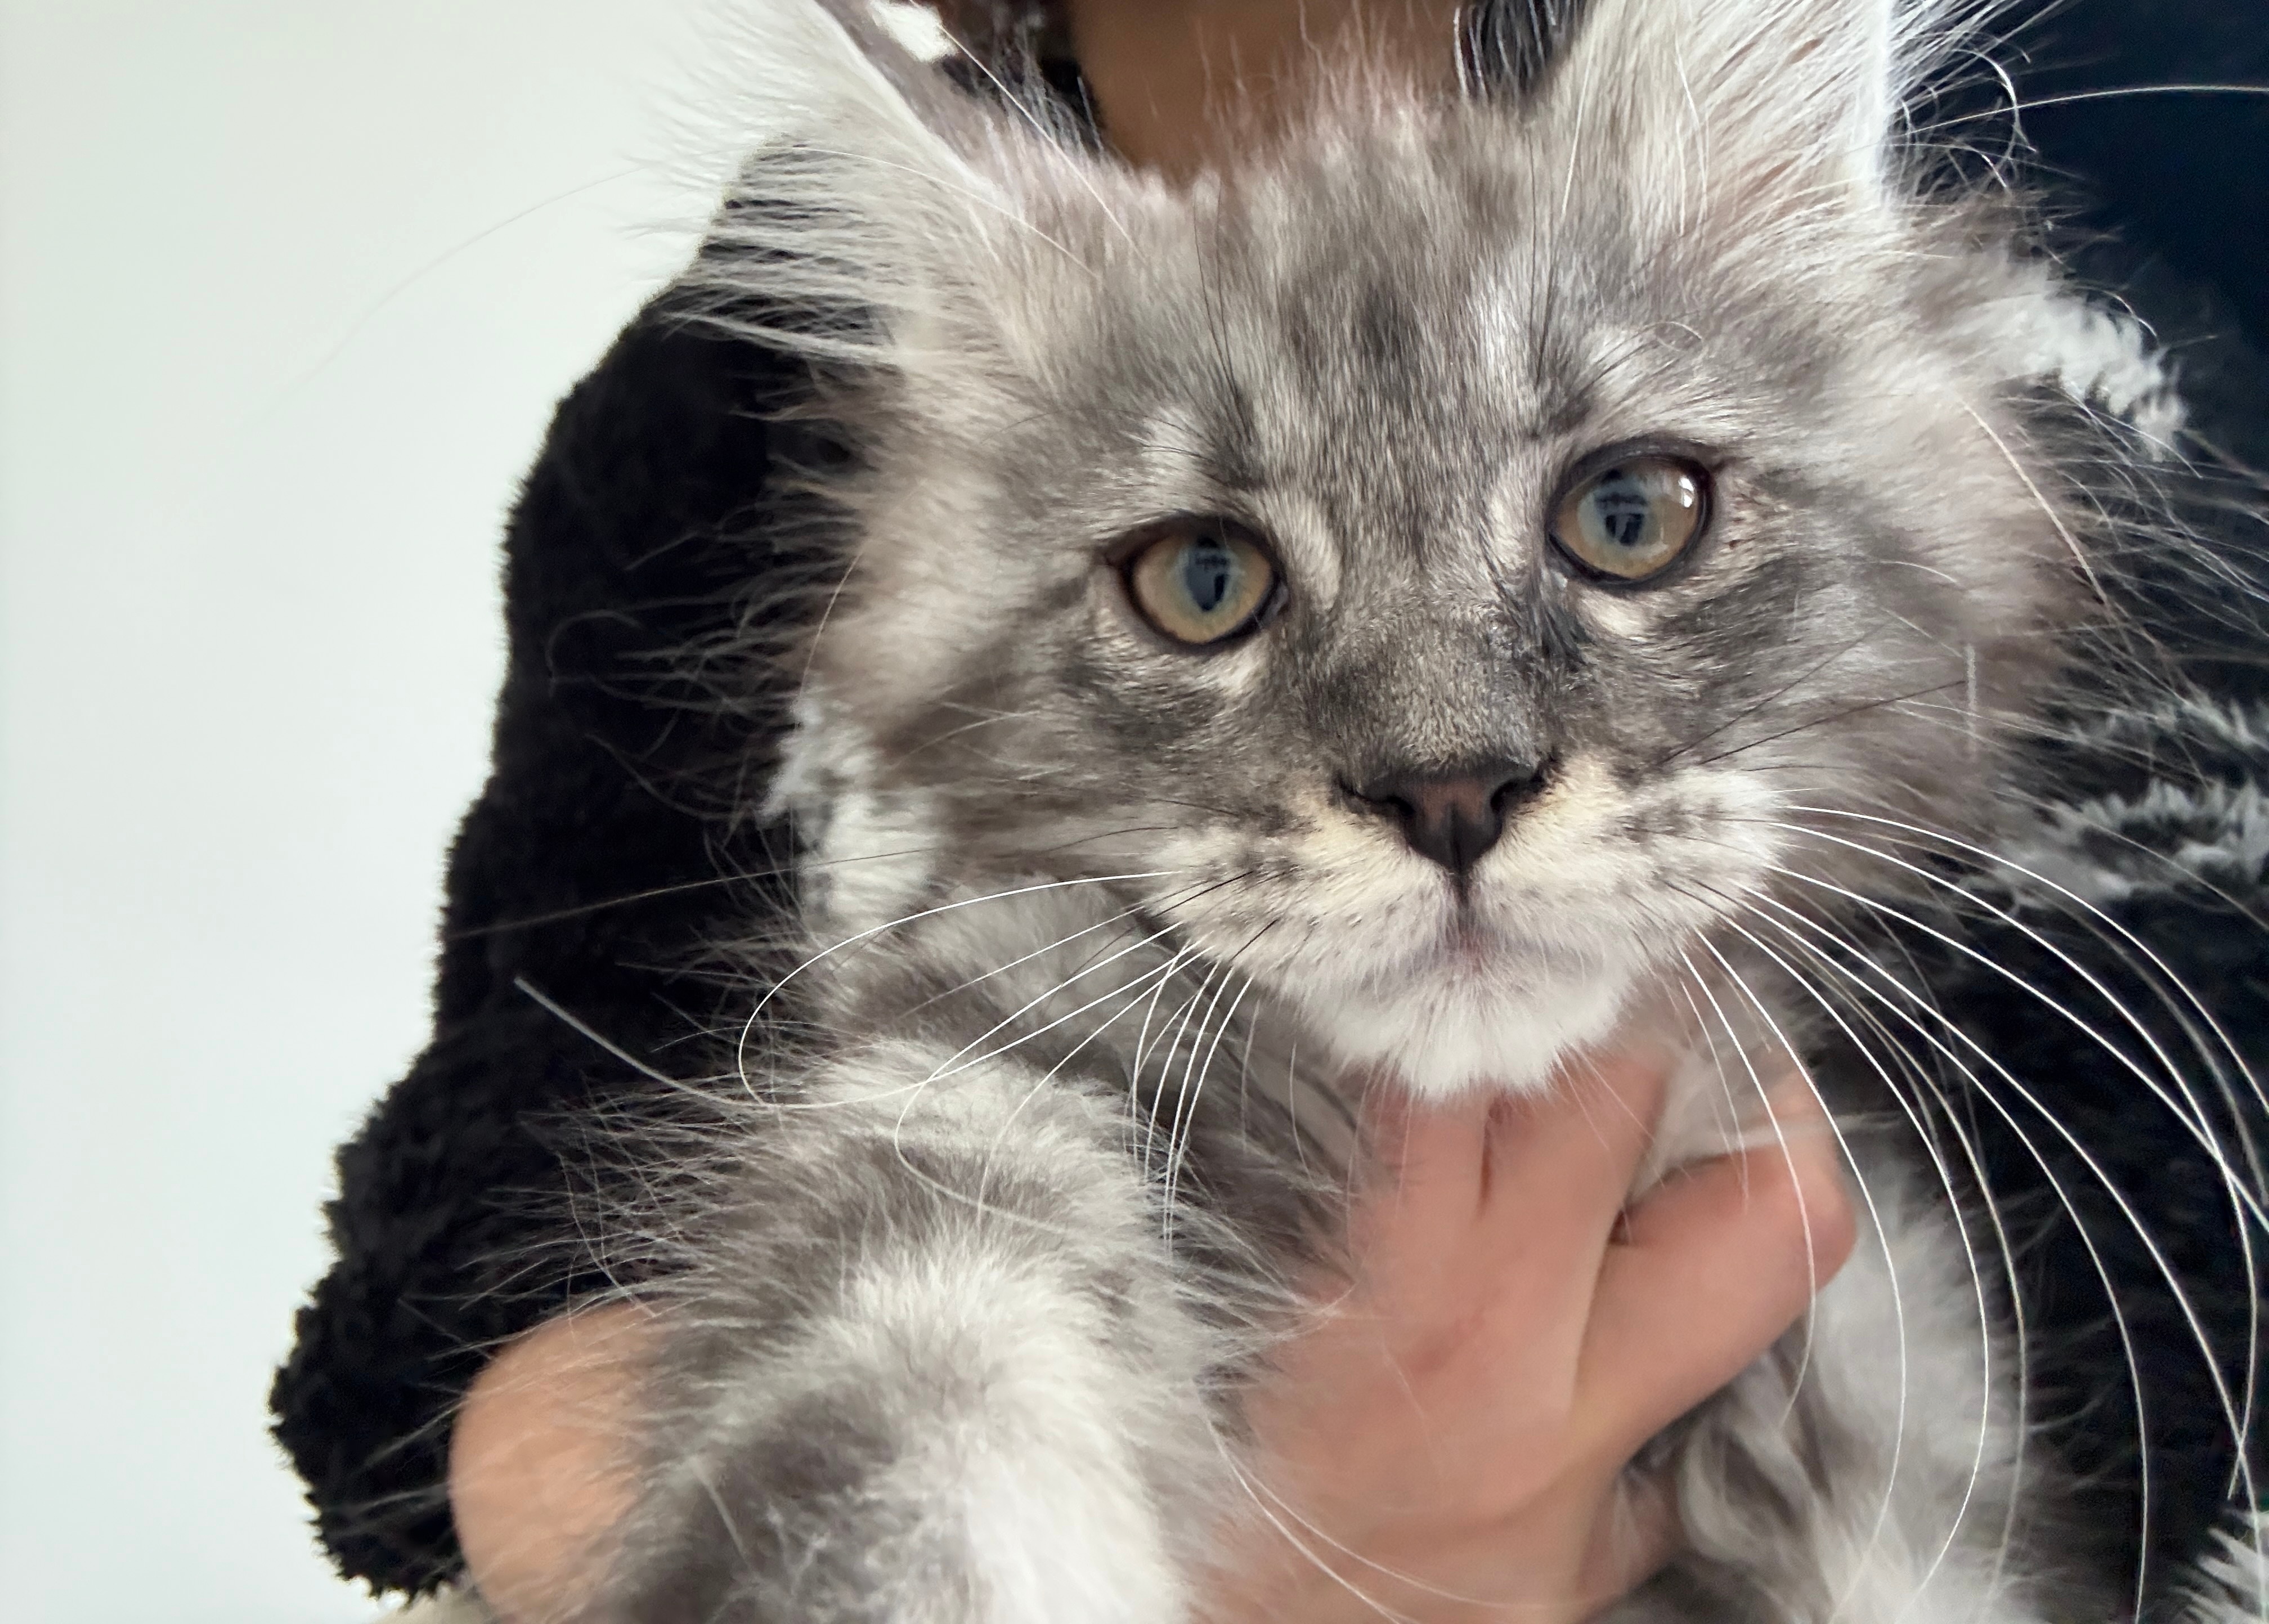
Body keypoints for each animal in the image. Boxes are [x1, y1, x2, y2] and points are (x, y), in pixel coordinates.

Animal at [562, 3, 2250, 1624]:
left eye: (1631, 516)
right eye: (1203, 581)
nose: (1451, 789)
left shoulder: (1894, 1388)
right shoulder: (987, 1064)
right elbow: (887, 1408)